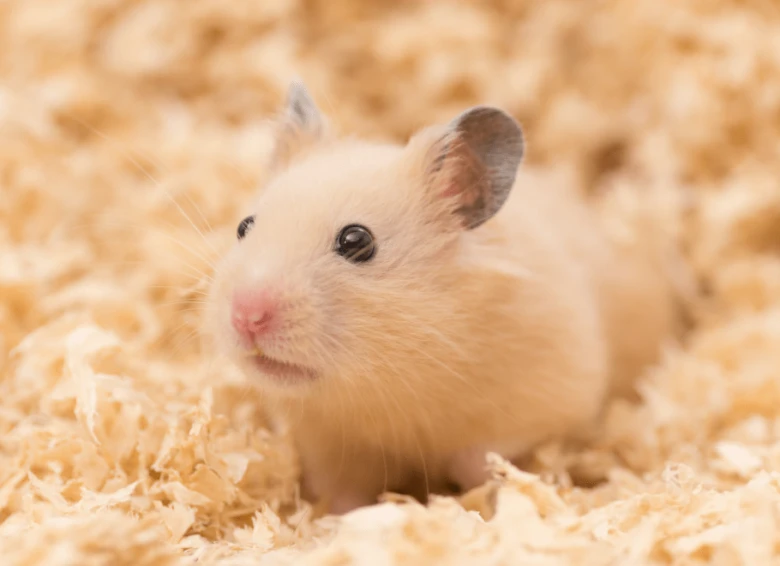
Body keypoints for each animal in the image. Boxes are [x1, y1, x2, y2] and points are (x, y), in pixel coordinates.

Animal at [205, 82, 686, 515]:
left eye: (357, 241)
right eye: (244, 226)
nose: (246, 316)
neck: (388, 381)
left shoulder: (550, 396)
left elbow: (483, 458)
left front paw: (482, 501)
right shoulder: (330, 445)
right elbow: (344, 493)